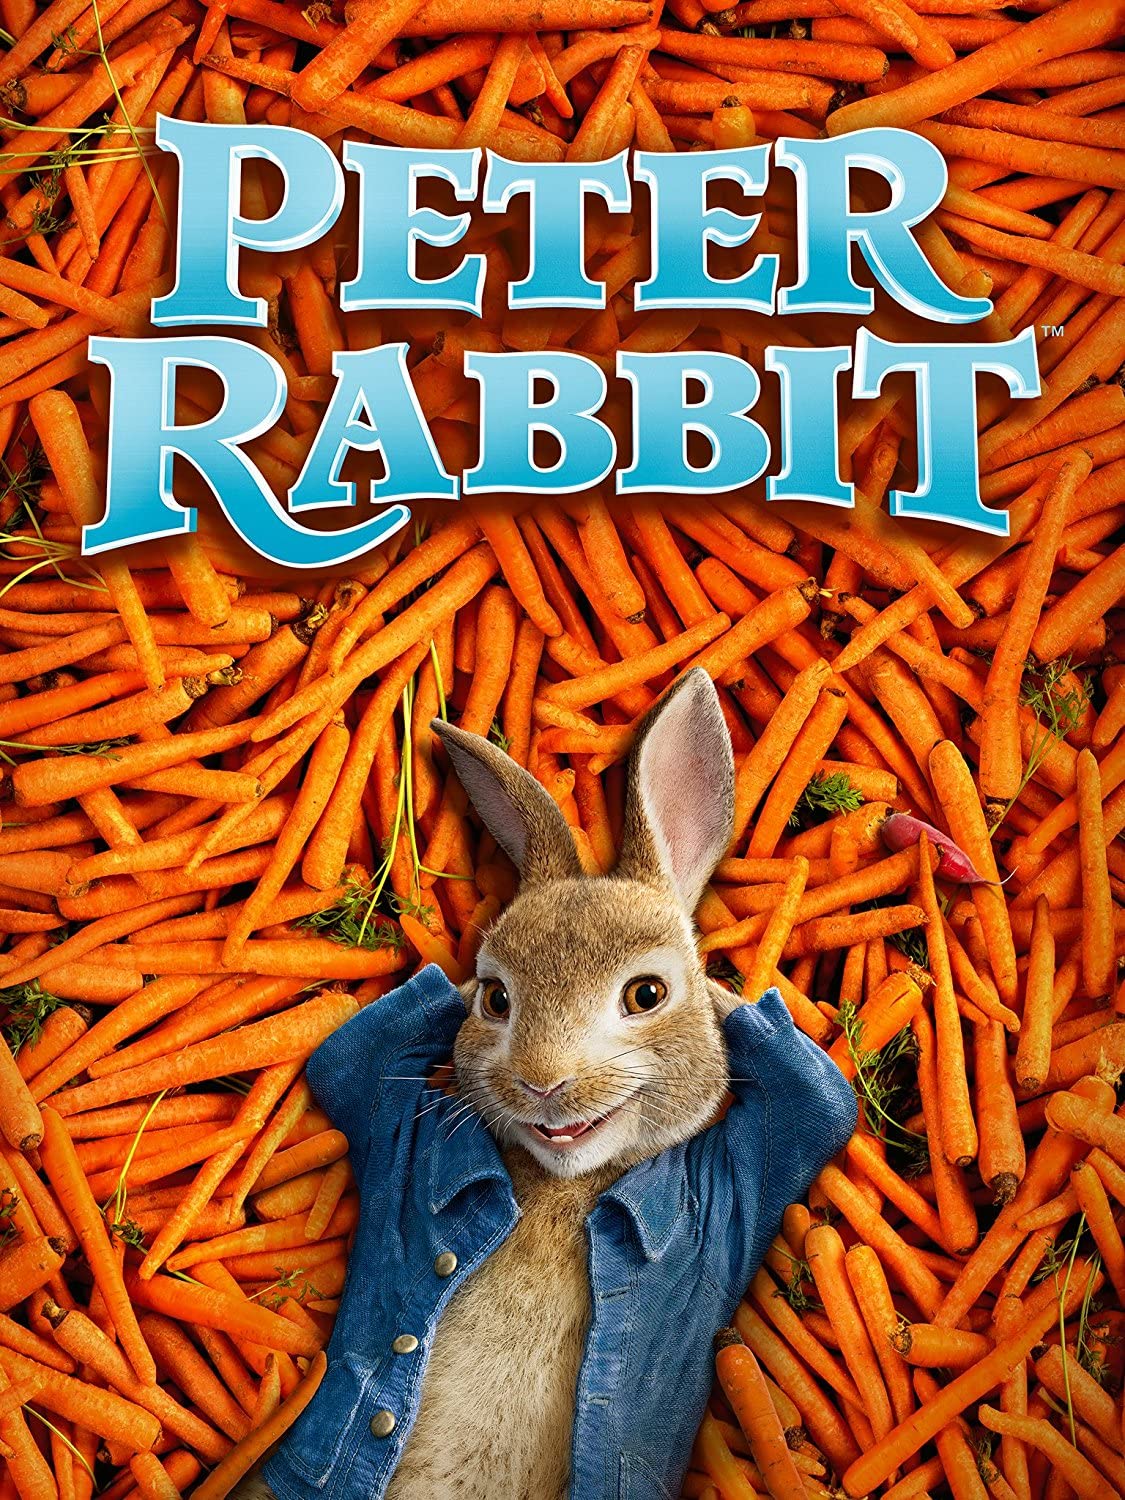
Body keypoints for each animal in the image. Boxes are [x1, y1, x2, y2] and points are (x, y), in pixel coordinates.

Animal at [234, 666, 851, 1500]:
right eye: (496, 999)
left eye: (647, 995)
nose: (541, 1084)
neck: (566, 1186)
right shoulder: (391, 1116)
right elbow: (346, 1058)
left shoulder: (750, 1172)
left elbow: (820, 1104)